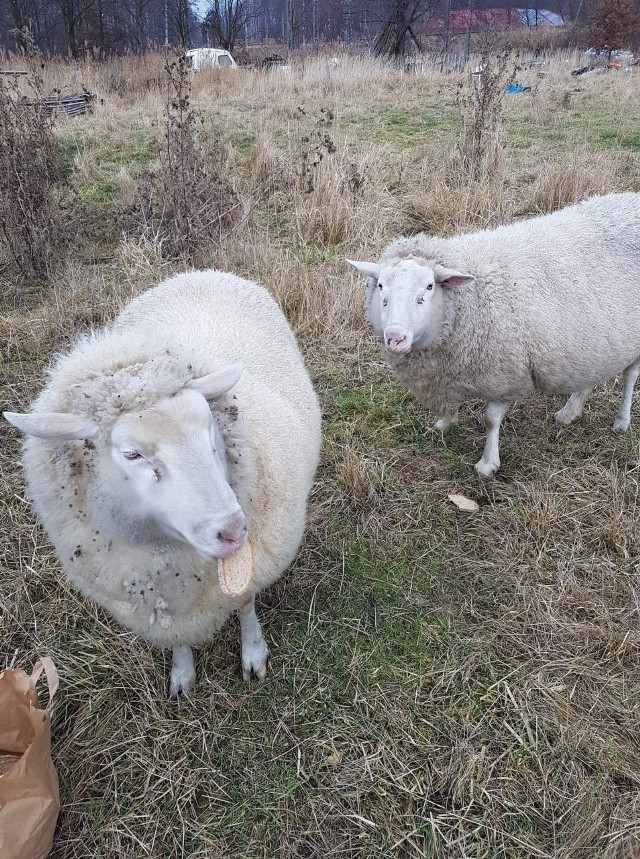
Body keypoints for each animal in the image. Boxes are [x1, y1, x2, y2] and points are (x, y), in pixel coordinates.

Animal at [3, 272, 322, 696]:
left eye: (209, 427)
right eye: (132, 454)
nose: (234, 531)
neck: (166, 553)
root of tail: (199, 272)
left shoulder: (253, 563)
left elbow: (245, 603)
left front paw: (253, 653)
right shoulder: (158, 607)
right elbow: (176, 638)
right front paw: (182, 674)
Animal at [348, 191, 640, 478]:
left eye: (429, 287)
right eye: (381, 286)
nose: (396, 338)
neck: (469, 301)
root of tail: (631, 199)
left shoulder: (505, 377)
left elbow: (491, 421)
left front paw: (487, 464)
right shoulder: (449, 372)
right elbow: (450, 404)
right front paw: (444, 423)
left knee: (630, 376)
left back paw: (621, 421)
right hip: (595, 341)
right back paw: (569, 412)